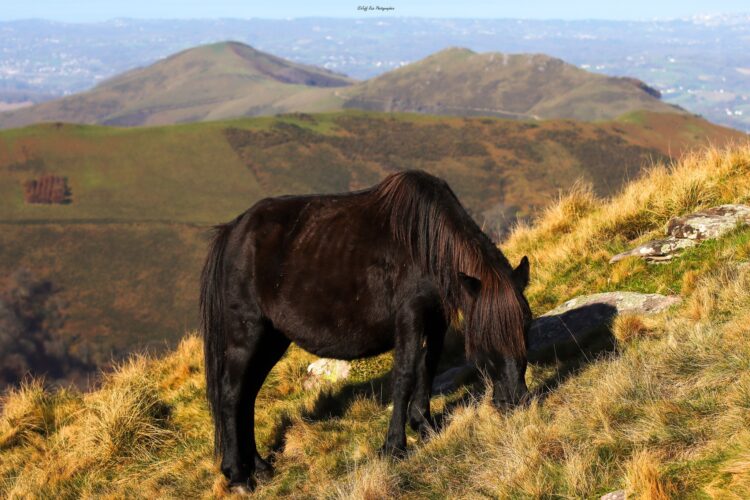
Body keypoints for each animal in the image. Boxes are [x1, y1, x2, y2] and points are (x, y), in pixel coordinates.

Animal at [201, 170, 536, 490]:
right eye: (484, 338)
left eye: (526, 325)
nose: (516, 401)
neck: (424, 244)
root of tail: (233, 232)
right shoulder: (410, 318)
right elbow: (404, 376)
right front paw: (394, 447)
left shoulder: (436, 320)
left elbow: (427, 366)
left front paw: (424, 425)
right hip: (247, 334)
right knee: (232, 395)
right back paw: (238, 475)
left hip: (272, 339)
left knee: (248, 396)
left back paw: (259, 467)